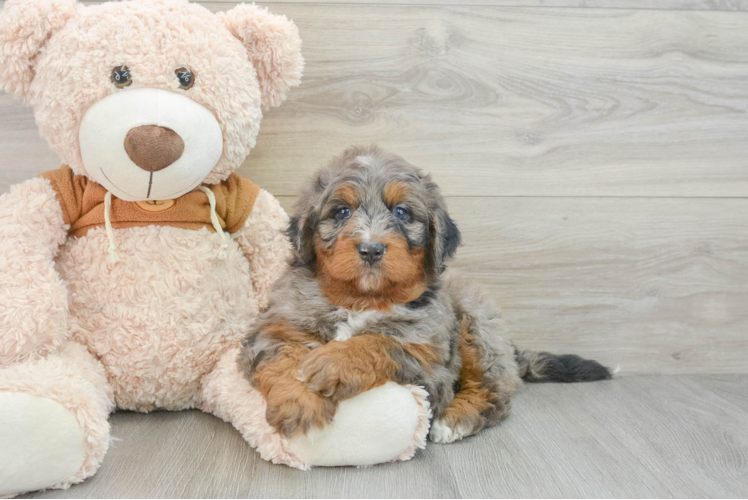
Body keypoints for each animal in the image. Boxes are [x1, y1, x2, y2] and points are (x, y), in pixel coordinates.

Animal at [237, 146, 612, 444]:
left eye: (401, 212)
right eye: (342, 211)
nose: (371, 249)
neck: (362, 299)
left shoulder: (430, 364)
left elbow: (381, 342)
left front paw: (333, 362)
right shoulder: (274, 327)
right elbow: (284, 357)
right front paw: (299, 404)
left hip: (476, 324)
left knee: (495, 393)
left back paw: (455, 421)